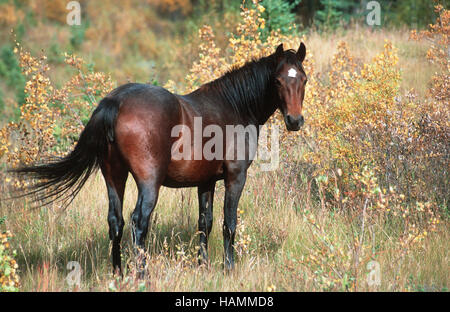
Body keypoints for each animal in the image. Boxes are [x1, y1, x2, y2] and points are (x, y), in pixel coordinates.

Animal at [10, 43, 308, 272]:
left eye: (303, 79)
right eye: (278, 80)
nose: (295, 121)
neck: (234, 107)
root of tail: (115, 102)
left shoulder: (206, 182)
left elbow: (205, 224)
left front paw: (203, 266)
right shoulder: (235, 176)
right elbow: (229, 224)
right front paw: (229, 269)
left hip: (114, 176)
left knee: (116, 222)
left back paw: (119, 274)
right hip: (148, 182)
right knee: (139, 222)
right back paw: (142, 275)